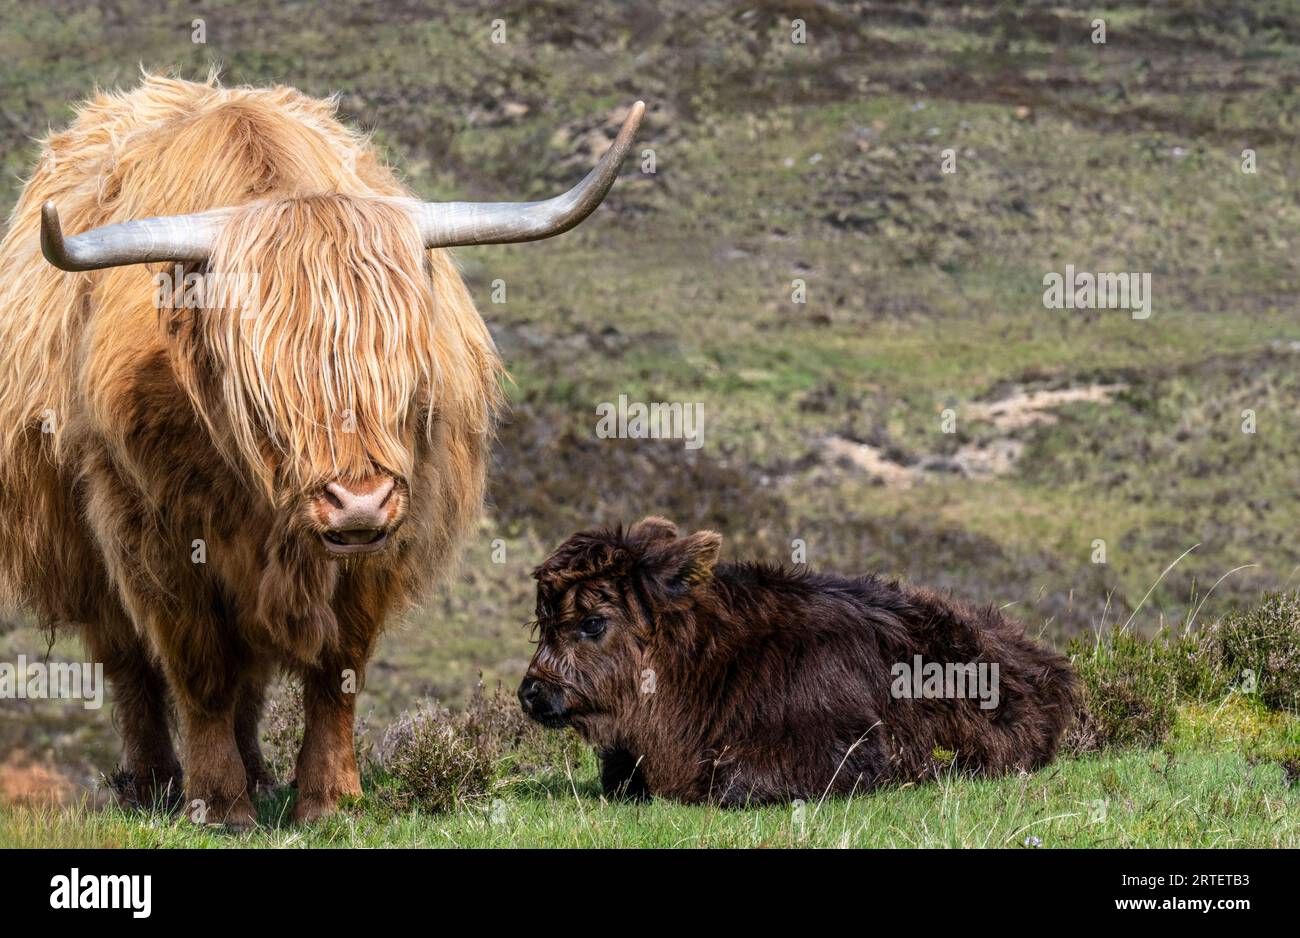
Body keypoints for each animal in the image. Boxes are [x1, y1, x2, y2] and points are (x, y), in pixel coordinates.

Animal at [0, 78, 644, 826]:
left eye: (407, 374)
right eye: (263, 391)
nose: (357, 502)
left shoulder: (384, 542)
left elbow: (338, 668)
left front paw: (330, 800)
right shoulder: (155, 538)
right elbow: (198, 670)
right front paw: (218, 805)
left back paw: (257, 773)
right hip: (81, 552)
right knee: (130, 664)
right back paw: (155, 785)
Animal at [517, 514, 1076, 800]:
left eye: (593, 621)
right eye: (541, 622)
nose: (531, 693)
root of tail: (1048, 666)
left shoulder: (850, 747)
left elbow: (732, 782)